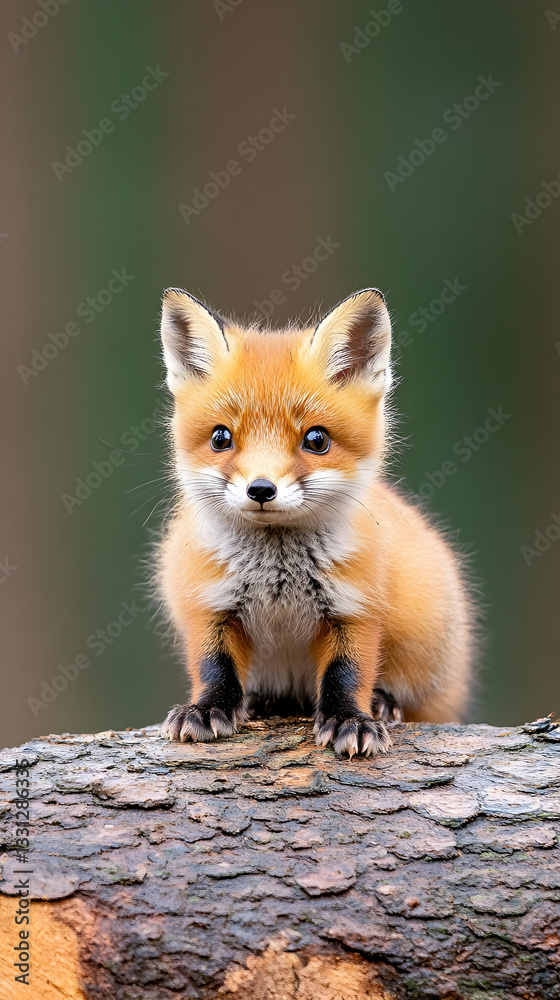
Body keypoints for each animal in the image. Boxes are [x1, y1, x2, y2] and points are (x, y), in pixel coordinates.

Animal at [156, 286, 474, 757]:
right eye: (220, 438)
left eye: (316, 440)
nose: (261, 490)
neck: (277, 579)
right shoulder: (208, 603)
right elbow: (214, 667)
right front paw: (207, 708)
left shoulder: (356, 607)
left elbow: (348, 672)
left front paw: (349, 719)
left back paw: (383, 702)